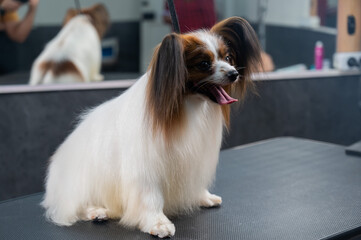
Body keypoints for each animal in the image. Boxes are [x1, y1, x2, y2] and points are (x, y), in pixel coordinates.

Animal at [41, 17, 262, 238]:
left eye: (228, 57)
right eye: (204, 64)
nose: (234, 73)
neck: (186, 105)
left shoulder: (193, 158)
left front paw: (204, 197)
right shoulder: (145, 167)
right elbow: (151, 198)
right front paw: (158, 223)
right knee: (75, 205)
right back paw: (96, 211)